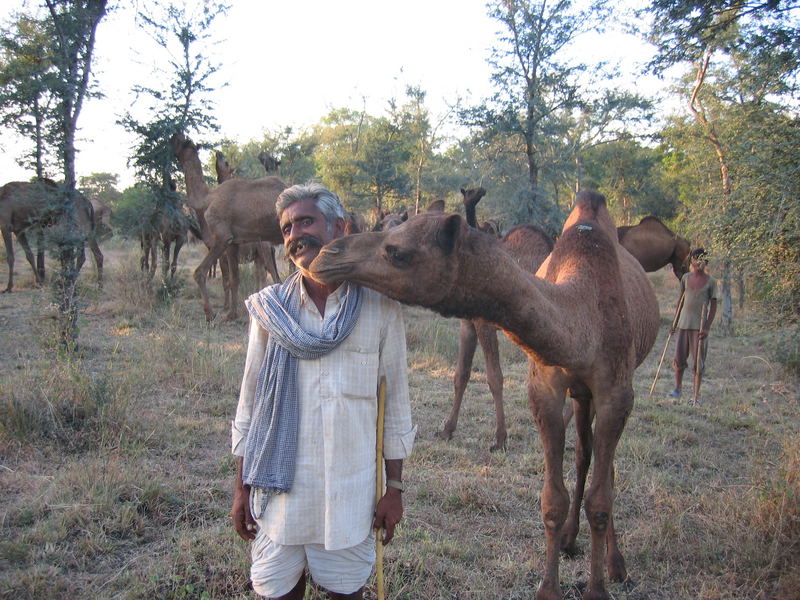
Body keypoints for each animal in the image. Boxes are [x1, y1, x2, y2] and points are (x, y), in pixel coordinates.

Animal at [170, 131, 290, 318]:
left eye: (183, 141)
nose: (174, 135)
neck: (207, 199)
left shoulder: (222, 237)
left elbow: (200, 273)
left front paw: (210, 314)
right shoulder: (233, 243)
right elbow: (234, 279)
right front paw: (231, 314)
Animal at [440, 188, 552, 450]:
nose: (480, 191)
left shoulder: (485, 323)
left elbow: (495, 377)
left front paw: (500, 438)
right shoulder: (468, 323)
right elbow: (461, 374)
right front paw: (447, 429)